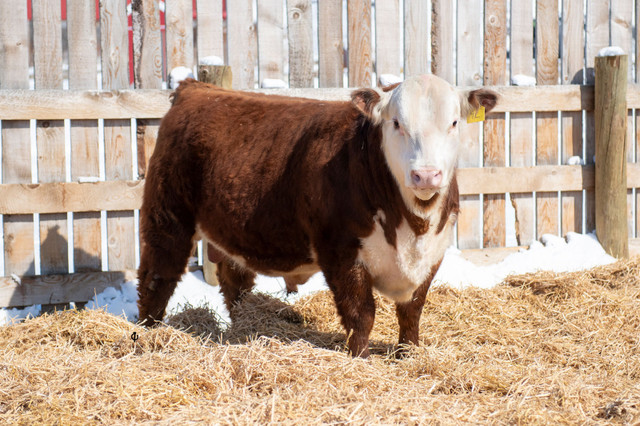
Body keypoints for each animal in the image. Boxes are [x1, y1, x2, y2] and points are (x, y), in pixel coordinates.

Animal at [138, 75, 498, 356]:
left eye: (454, 123)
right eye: (396, 123)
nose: (426, 175)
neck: (412, 228)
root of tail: (196, 88)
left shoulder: (433, 254)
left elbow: (412, 312)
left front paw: (408, 354)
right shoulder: (340, 251)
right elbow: (361, 314)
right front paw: (359, 360)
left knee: (234, 283)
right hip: (167, 215)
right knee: (157, 276)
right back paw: (147, 332)